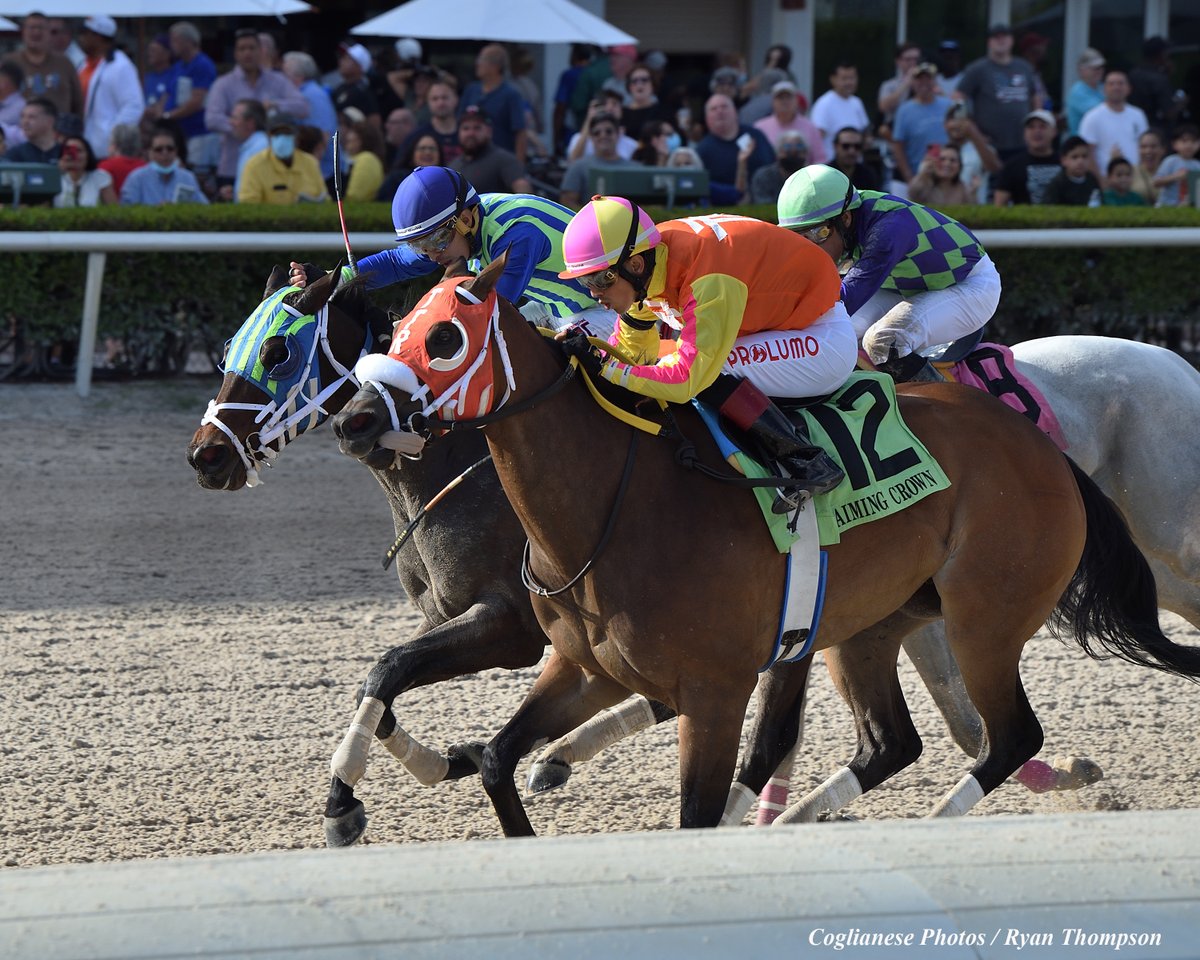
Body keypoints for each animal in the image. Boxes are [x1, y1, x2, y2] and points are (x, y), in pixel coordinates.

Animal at [328, 254, 1200, 830]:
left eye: (445, 337)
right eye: (396, 330)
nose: (357, 420)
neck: (617, 499)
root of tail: (1042, 451)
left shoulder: (711, 690)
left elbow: (702, 802)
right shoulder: (581, 666)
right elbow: (494, 755)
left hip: (991, 616)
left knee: (1008, 734)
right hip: (874, 627)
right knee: (897, 741)